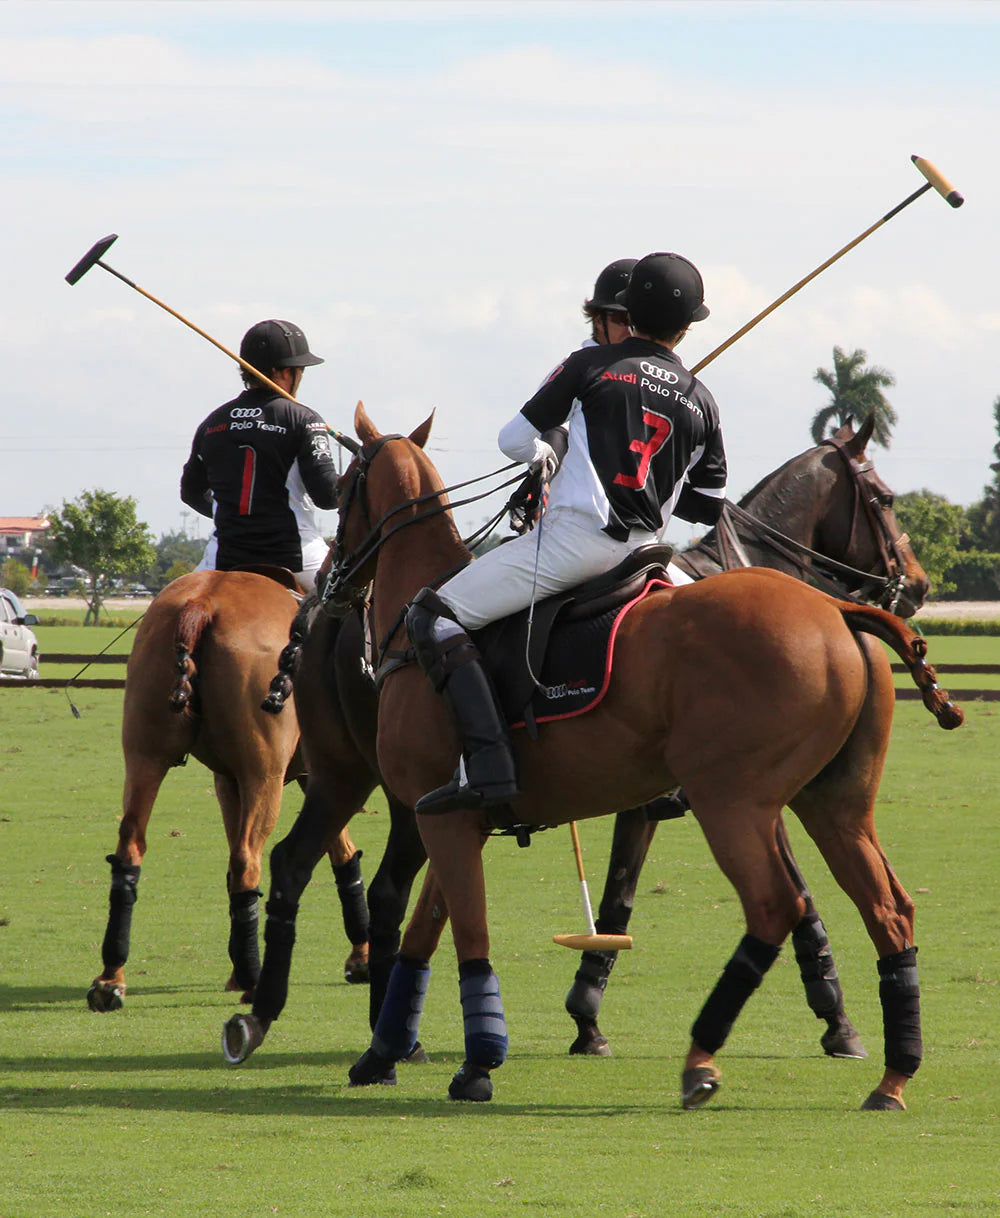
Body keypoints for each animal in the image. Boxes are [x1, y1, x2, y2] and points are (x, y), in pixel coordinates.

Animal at [85, 565, 367, 1013]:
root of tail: (202, 601)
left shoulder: (230, 780)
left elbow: (339, 851)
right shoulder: (323, 773)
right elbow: (341, 853)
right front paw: (362, 957)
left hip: (145, 754)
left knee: (132, 845)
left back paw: (111, 980)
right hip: (264, 775)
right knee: (248, 858)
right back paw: (254, 979)